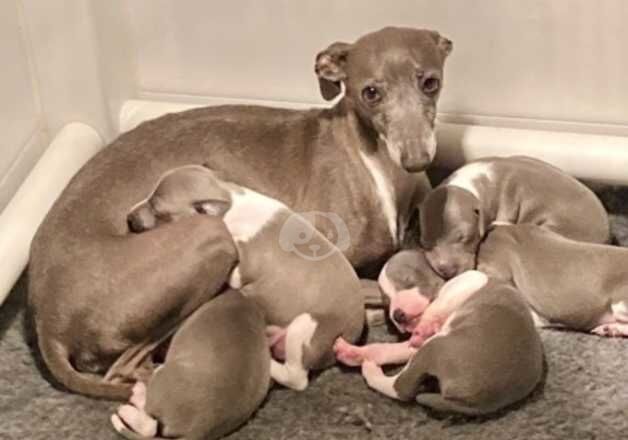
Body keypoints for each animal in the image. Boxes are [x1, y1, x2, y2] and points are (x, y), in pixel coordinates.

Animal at [127, 166, 364, 392]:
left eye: (157, 210)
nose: (128, 218)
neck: (230, 203)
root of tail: (349, 336)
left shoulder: (240, 271)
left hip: (305, 326)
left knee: (295, 377)